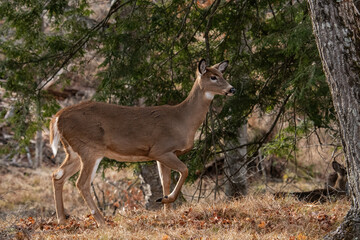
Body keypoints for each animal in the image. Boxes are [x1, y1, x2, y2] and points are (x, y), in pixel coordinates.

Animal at [50, 59, 236, 226]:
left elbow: (165, 181)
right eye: (213, 77)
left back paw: (62, 220)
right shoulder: (160, 149)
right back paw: (101, 222)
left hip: (74, 151)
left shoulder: (163, 155)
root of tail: (57, 117)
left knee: (57, 175)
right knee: (82, 183)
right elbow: (185, 170)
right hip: (90, 148)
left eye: (222, 74)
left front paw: (166, 208)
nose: (232, 89)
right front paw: (165, 200)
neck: (183, 120)